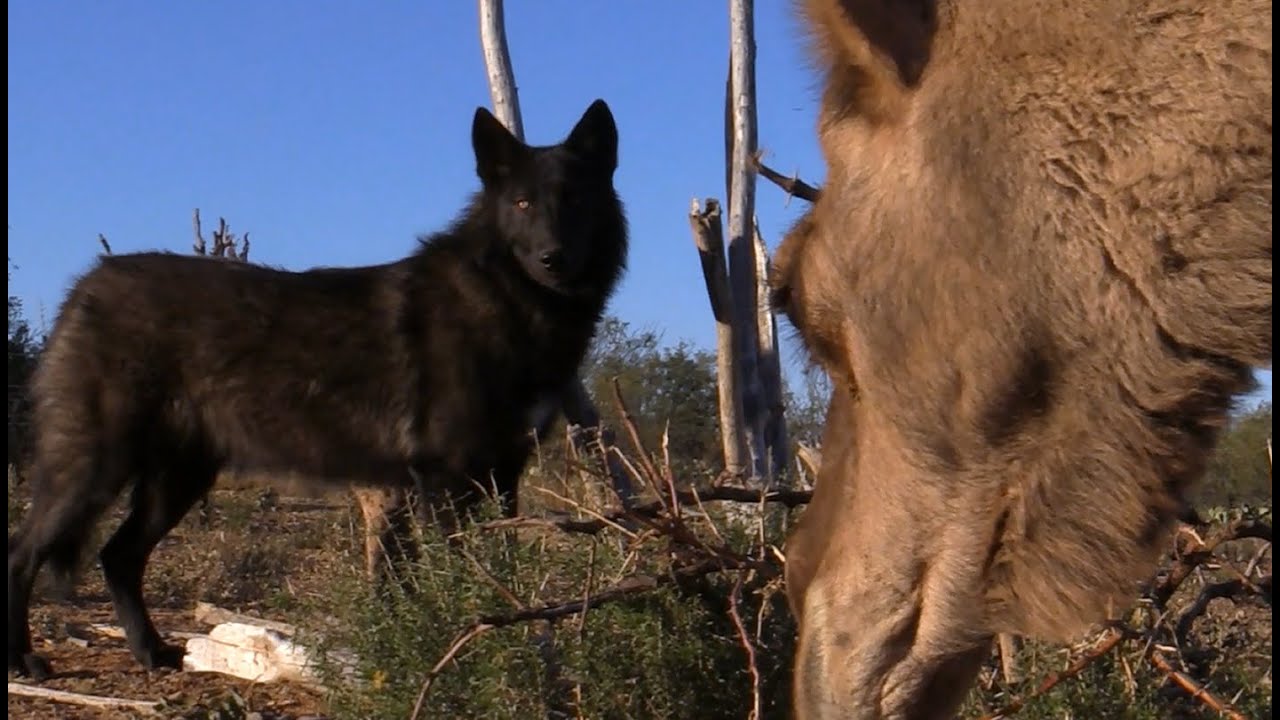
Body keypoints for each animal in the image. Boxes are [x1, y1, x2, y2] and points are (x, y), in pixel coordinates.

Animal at [7, 98, 628, 679]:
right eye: (523, 203)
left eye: (574, 199)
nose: (553, 258)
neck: (511, 303)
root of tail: (89, 281)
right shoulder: (447, 483)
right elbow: (462, 579)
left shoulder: (499, 477)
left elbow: (493, 571)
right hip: (95, 472)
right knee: (22, 553)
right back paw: (26, 661)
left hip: (177, 481)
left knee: (117, 557)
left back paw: (151, 653)